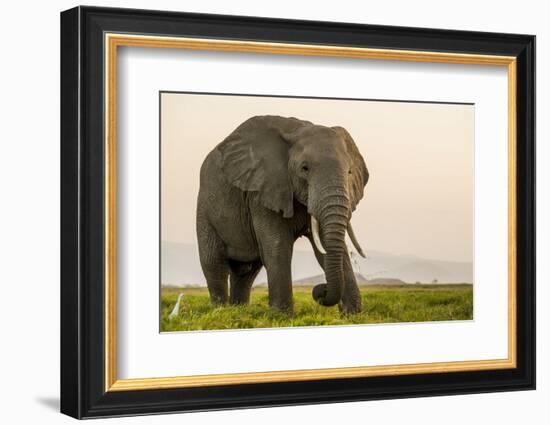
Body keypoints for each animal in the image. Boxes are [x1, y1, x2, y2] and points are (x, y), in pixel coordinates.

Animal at [195, 114, 370, 314]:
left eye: (349, 172)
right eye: (304, 168)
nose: (319, 290)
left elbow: (325, 247)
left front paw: (352, 315)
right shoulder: (262, 190)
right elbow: (278, 245)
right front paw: (281, 315)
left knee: (246, 273)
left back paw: (239, 310)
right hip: (205, 210)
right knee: (214, 263)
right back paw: (221, 311)